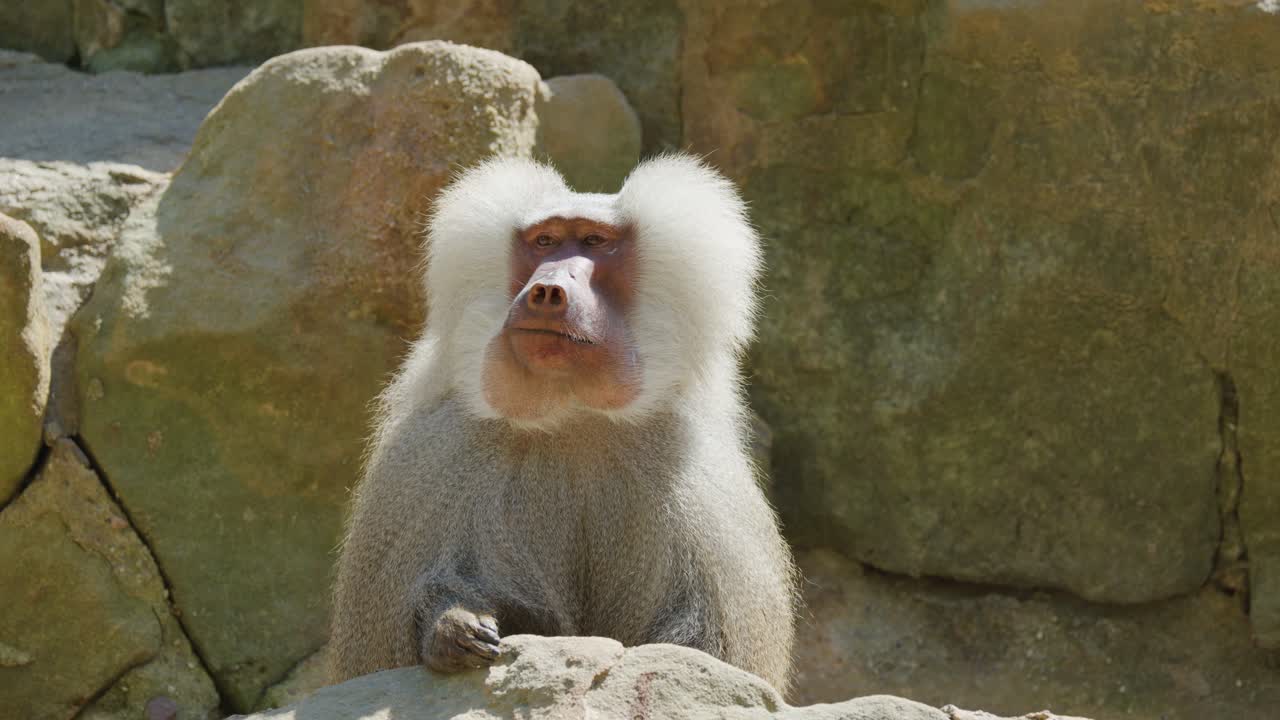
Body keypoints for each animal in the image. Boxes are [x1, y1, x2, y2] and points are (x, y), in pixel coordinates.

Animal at [328, 154, 798, 690]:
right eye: (545, 242)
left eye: (594, 241)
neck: (573, 419)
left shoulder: (699, 497)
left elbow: (703, 656)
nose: (547, 290)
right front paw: (454, 628)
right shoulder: (433, 463)